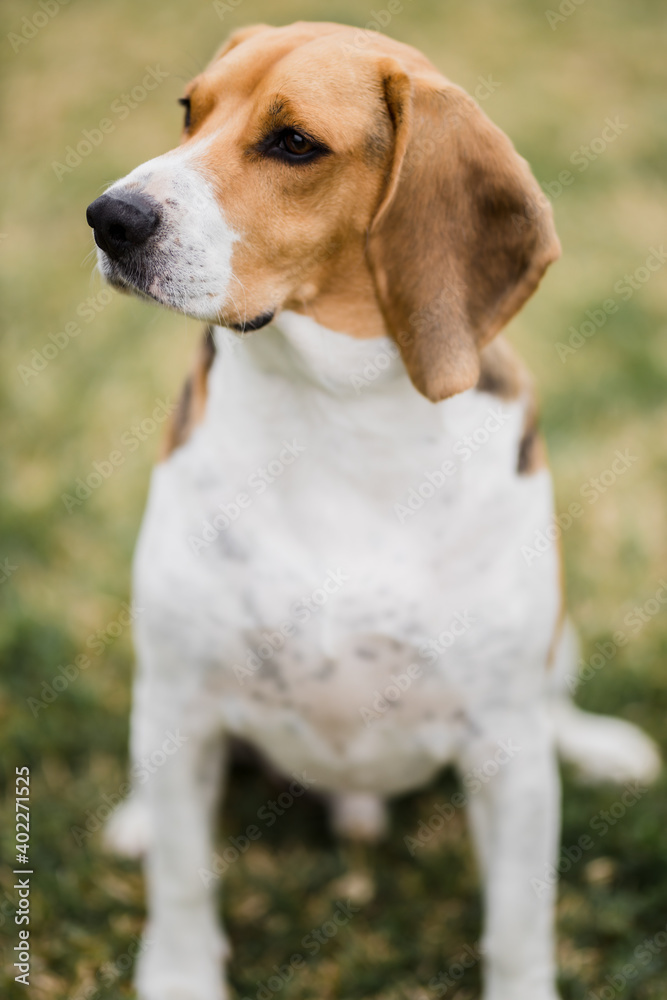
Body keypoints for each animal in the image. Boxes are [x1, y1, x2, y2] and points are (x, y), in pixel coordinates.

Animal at [86, 21, 660, 1000]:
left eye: (293, 143)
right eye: (189, 110)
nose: (109, 217)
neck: (334, 417)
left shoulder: (506, 749)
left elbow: (517, 923)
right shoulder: (184, 704)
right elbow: (183, 882)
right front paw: (179, 972)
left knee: (556, 707)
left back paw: (597, 745)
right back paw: (132, 820)